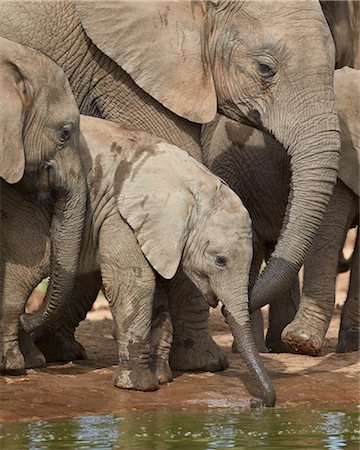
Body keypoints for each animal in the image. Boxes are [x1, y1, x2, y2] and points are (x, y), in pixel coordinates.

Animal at [13, 115, 276, 404]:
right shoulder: (119, 214)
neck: (192, 182)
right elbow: (135, 284)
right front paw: (139, 386)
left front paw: (161, 378)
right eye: (220, 260)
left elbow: (158, 290)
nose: (255, 402)